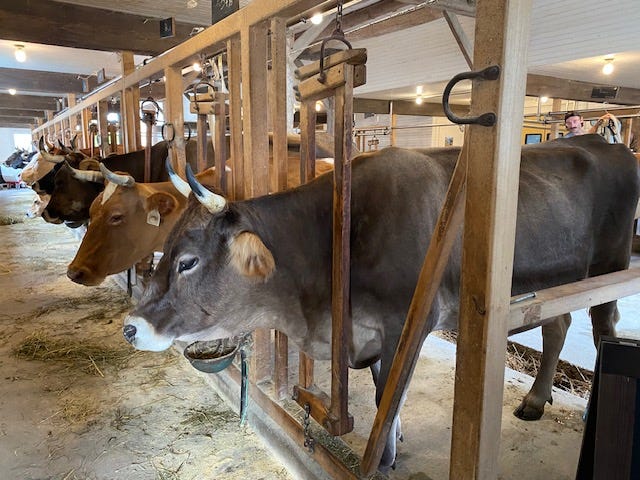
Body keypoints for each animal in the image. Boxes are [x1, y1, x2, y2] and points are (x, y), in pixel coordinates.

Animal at [121, 134, 639, 471]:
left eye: (188, 261)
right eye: (167, 249)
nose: (131, 326)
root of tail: (606, 141)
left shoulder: (406, 323)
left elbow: (388, 393)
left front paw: (386, 456)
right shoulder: (369, 330)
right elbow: (380, 390)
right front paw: (397, 437)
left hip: (610, 268)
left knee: (603, 328)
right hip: (561, 281)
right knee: (557, 326)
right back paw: (535, 399)